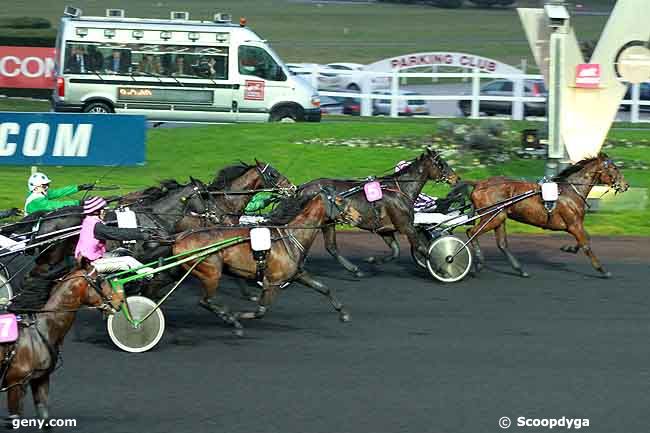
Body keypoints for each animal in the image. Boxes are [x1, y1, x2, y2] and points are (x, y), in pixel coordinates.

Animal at [0, 270, 116, 422]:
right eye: (100, 280)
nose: (119, 300)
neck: (41, 330)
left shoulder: (40, 379)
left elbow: (44, 415)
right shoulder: (15, 384)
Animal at [170, 185, 362, 334]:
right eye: (339, 200)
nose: (358, 216)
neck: (291, 236)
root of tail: (180, 238)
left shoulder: (297, 274)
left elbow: (324, 288)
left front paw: (343, 313)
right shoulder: (273, 282)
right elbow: (261, 311)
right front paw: (237, 316)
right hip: (211, 273)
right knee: (205, 301)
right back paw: (231, 320)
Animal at [298, 148, 456, 276]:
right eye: (441, 163)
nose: (456, 178)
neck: (400, 190)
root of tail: (303, 187)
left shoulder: (385, 230)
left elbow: (396, 251)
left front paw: (373, 260)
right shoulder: (406, 226)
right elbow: (423, 248)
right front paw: (443, 268)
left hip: (328, 221)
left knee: (331, 247)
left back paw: (354, 269)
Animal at [466, 154, 628, 278]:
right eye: (614, 168)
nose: (626, 185)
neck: (570, 191)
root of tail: (479, 183)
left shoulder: (576, 224)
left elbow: (586, 238)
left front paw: (568, 248)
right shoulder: (573, 224)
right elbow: (586, 244)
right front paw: (602, 270)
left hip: (499, 217)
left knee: (502, 244)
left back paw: (520, 270)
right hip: (493, 217)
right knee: (471, 232)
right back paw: (478, 264)